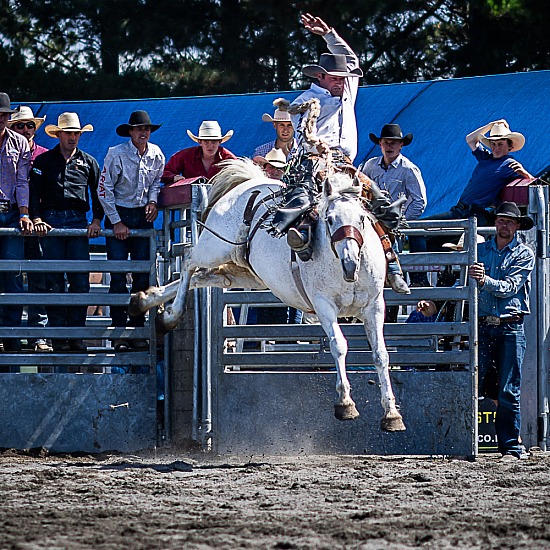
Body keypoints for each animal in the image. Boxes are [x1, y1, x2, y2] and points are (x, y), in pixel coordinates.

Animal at [132, 157, 408, 434]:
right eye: (329, 219)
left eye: (362, 218)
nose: (350, 263)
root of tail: (247, 182)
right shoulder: (324, 305)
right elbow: (339, 345)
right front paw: (345, 403)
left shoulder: (374, 306)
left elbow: (381, 354)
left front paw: (392, 414)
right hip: (213, 247)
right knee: (189, 262)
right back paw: (169, 315)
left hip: (245, 272)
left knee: (204, 278)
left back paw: (145, 301)